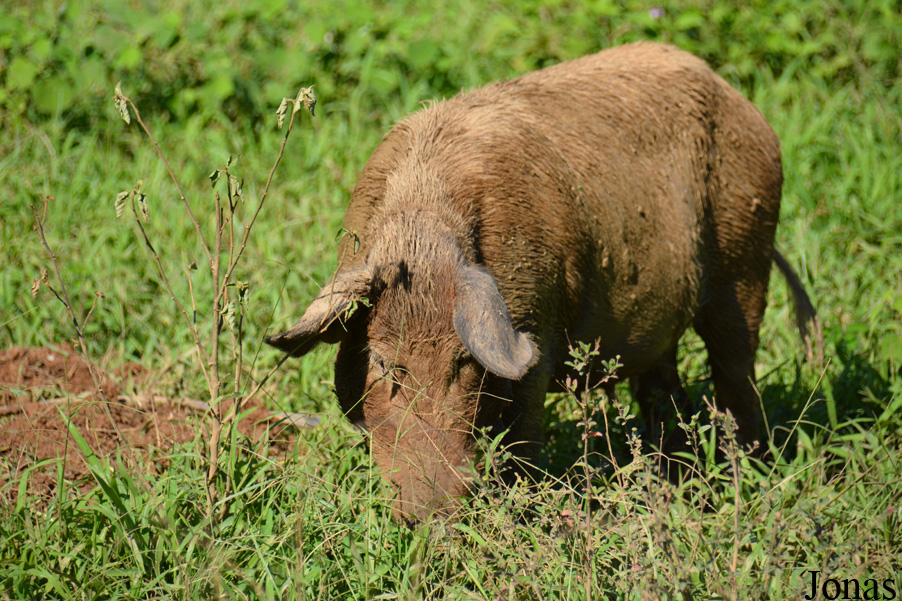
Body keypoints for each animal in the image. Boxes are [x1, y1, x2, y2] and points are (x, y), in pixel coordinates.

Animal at [266, 42, 820, 523]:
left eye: (464, 361)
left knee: (736, 370)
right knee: (664, 390)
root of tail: (745, 105)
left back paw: (746, 471)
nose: (432, 511)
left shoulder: (538, 324)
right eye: (382, 362)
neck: (422, 230)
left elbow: (523, 438)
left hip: (745, 254)